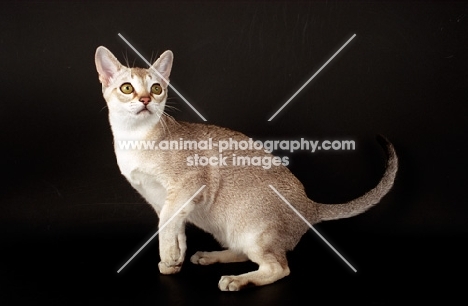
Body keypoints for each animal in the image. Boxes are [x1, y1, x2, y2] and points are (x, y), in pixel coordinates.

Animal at [95, 46, 398, 292]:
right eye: (127, 88)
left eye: (156, 88)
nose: (146, 100)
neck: (134, 140)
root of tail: (309, 205)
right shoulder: (161, 201)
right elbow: (174, 227)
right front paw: (174, 261)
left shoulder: (185, 186)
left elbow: (167, 225)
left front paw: (168, 255)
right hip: (234, 231)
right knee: (246, 253)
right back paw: (210, 256)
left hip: (254, 230)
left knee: (278, 267)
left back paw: (236, 280)